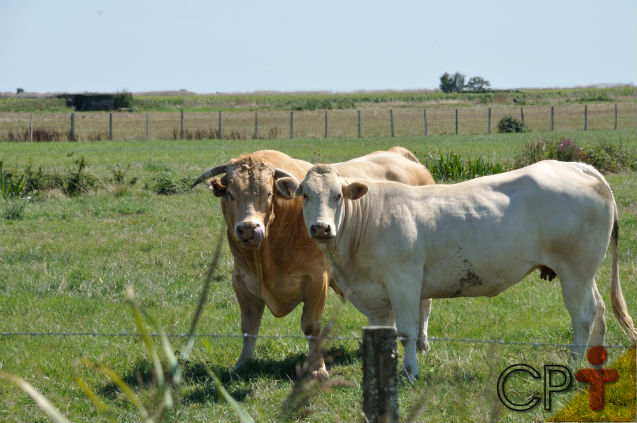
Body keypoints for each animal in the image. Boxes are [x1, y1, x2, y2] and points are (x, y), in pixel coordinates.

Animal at [191, 148, 434, 378]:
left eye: (268, 193)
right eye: (229, 194)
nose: (249, 229)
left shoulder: (316, 281)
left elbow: (310, 327)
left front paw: (317, 368)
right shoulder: (241, 283)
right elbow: (248, 327)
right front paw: (242, 364)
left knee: (424, 304)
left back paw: (422, 342)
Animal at [278, 161, 636, 380]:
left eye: (338, 196)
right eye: (305, 195)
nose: (321, 227)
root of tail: (577, 166)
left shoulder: (404, 281)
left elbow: (407, 332)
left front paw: (410, 373)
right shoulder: (375, 297)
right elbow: (382, 335)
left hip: (574, 270)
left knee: (583, 315)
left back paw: (573, 363)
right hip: (584, 272)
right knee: (599, 310)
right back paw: (595, 363)